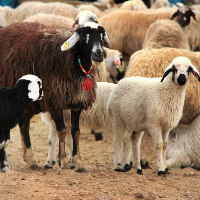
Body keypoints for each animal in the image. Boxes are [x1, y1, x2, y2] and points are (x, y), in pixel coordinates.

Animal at [0, 22, 110, 172]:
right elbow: (62, 131)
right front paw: (62, 162)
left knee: (24, 123)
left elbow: (75, 132)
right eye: (83, 36)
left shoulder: (77, 103)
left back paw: (31, 160)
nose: (98, 53)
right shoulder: (54, 102)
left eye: (101, 36)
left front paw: (78, 163)